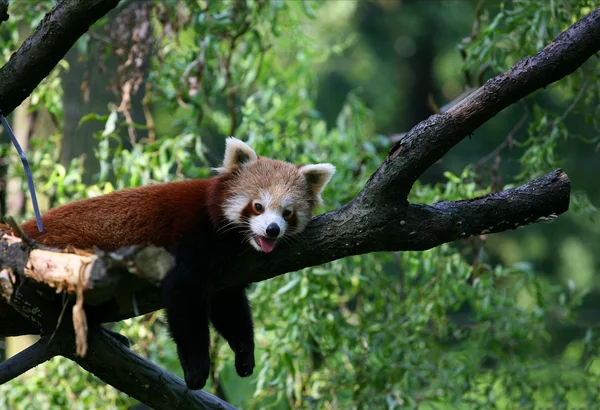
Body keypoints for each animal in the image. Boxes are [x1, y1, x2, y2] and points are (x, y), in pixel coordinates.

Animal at [16, 136, 336, 390]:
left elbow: (228, 306)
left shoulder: (227, 273)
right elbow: (184, 298)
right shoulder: (191, 235)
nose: (272, 230)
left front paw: (245, 355)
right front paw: (196, 371)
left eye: (287, 213)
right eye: (258, 206)